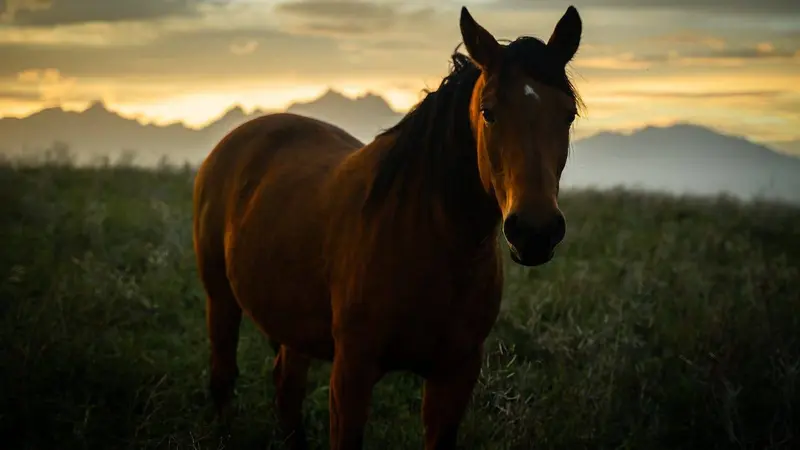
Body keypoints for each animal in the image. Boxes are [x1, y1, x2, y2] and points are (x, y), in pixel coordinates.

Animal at [192, 5, 583, 449]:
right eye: (489, 112)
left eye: (568, 114)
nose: (535, 231)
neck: (429, 242)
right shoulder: (352, 373)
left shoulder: (455, 374)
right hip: (221, 298)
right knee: (224, 377)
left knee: (286, 385)